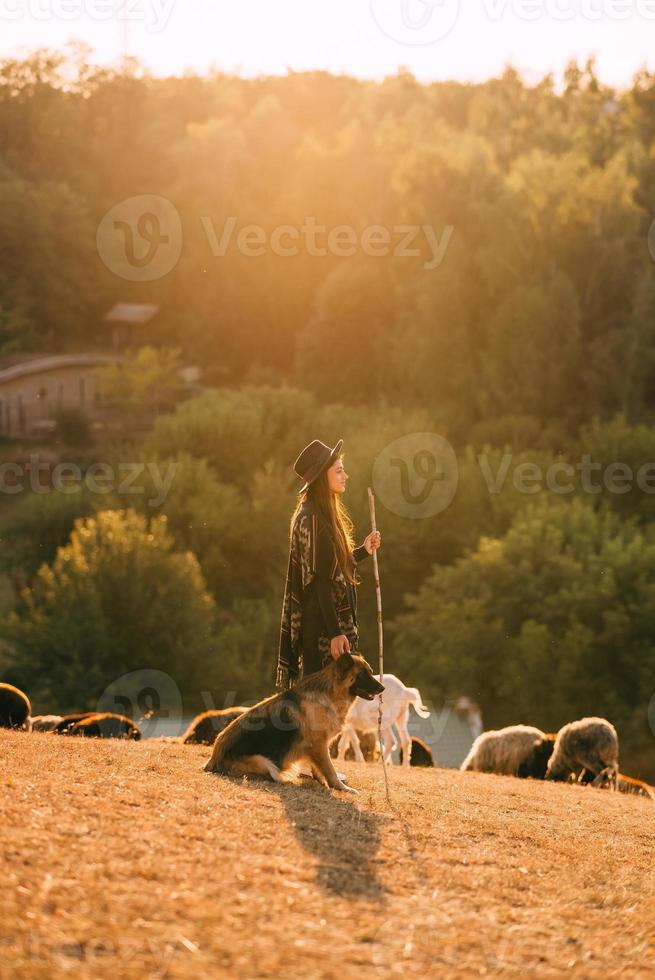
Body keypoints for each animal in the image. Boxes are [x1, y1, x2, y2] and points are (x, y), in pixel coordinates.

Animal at [202, 652, 382, 796]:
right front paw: (341, 787)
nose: (383, 688)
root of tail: (212, 759)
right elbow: (330, 770)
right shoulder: (319, 745)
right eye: (362, 675)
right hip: (263, 761)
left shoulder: (318, 748)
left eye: (370, 672)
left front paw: (323, 784)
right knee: (269, 775)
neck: (330, 692)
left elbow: (319, 769)